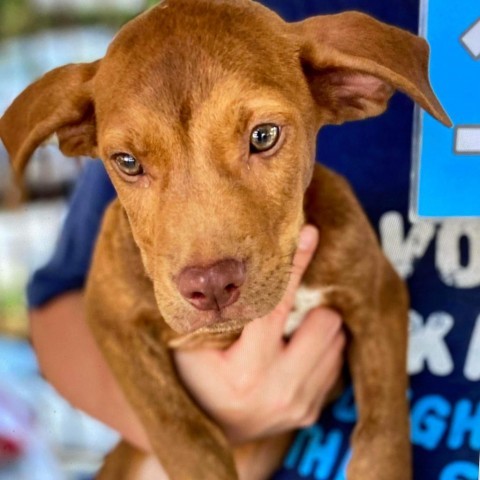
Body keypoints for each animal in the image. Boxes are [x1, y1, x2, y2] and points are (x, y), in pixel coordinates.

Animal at [0, 0, 450, 480]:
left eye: (264, 136)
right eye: (127, 162)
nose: (211, 286)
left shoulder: (379, 294)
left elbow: (382, 433)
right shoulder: (111, 318)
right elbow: (183, 434)